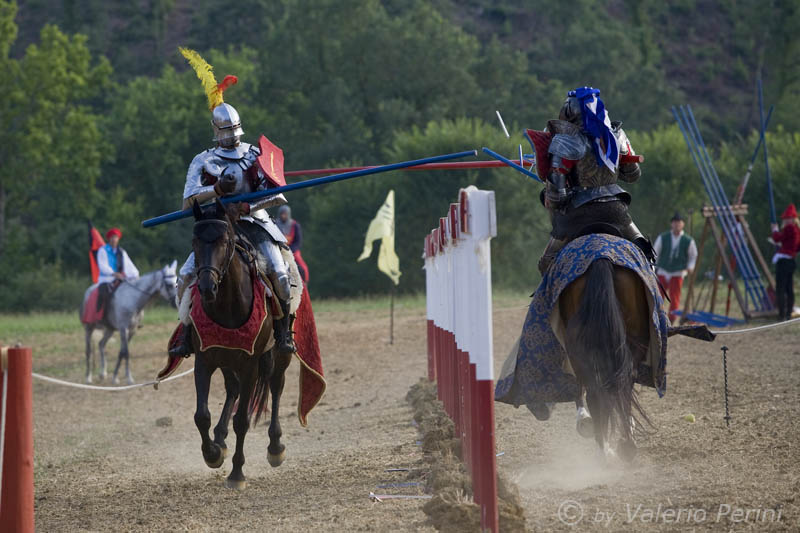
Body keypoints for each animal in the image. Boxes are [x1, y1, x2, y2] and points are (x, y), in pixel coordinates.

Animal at [189, 198, 292, 486]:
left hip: (278, 356)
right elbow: (201, 415)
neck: (228, 304)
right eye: (195, 241)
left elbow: (242, 420)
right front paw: (212, 453)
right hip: (227, 360)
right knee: (232, 388)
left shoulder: (250, 365)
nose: (207, 287)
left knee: (276, 386)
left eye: (224, 240)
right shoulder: (205, 360)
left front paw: (236, 473)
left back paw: (275, 447)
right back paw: (220, 439)